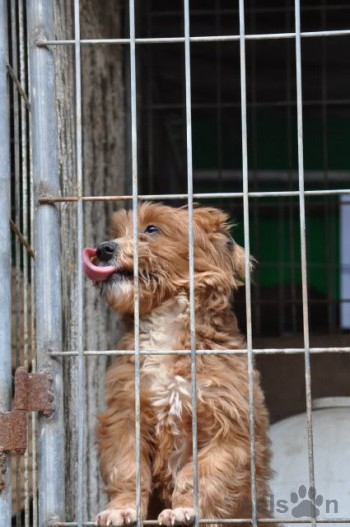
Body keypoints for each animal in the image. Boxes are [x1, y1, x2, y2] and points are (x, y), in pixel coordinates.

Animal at [82, 204, 274, 527]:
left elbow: (198, 475)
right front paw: (121, 508)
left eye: (151, 229)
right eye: (118, 232)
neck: (165, 325)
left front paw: (184, 509)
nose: (103, 249)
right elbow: (127, 471)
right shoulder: (125, 417)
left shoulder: (230, 428)